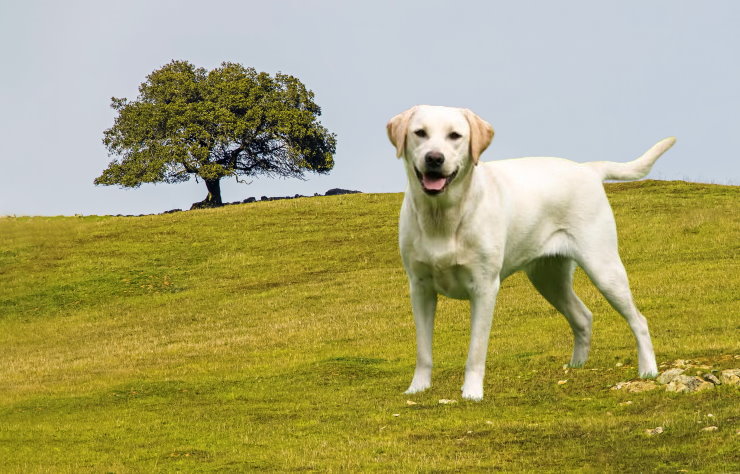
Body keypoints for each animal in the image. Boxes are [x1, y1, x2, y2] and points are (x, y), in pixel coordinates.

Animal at [388, 106, 676, 400]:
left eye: (455, 135)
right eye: (420, 133)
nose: (434, 158)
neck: (442, 217)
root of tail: (588, 168)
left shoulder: (484, 287)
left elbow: (476, 351)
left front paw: (472, 392)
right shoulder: (420, 288)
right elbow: (423, 350)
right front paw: (417, 388)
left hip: (604, 268)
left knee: (639, 320)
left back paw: (648, 370)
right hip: (548, 279)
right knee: (583, 317)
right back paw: (576, 367)